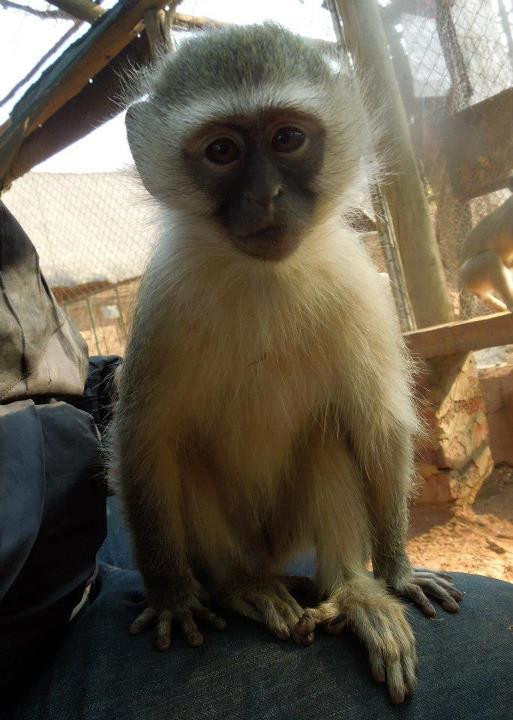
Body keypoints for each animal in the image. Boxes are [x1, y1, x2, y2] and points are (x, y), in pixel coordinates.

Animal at [111, 24, 463, 704]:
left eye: (287, 139)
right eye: (222, 150)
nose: (265, 195)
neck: (264, 277)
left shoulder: (363, 288)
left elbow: (377, 425)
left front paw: (397, 571)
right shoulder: (163, 303)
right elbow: (147, 442)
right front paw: (171, 595)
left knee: (327, 436)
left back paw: (353, 591)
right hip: (239, 543)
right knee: (190, 465)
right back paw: (244, 589)